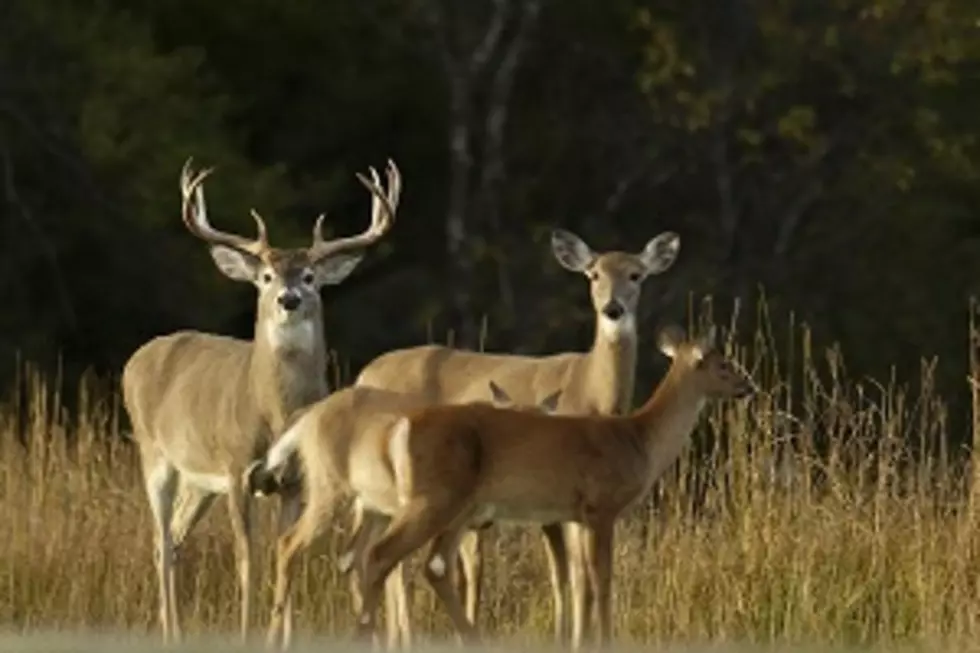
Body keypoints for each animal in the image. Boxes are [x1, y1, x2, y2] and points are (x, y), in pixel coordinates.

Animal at [121, 157, 402, 640]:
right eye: (267, 276)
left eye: (309, 276)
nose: (288, 299)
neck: (276, 412)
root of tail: (137, 357)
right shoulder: (237, 470)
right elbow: (246, 559)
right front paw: (246, 631)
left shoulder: (293, 482)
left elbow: (284, 555)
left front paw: (281, 637)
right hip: (155, 456)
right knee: (160, 540)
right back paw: (170, 633)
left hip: (199, 481)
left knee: (174, 539)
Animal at [249, 376, 564, 648]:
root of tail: (309, 416)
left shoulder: (462, 523)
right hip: (331, 491)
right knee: (290, 544)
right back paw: (275, 637)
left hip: (373, 509)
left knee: (352, 557)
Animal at [348, 324, 756, 648]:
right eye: (723, 364)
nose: (748, 384)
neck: (638, 439)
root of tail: (400, 428)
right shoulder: (600, 507)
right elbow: (602, 579)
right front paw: (606, 640)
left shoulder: (575, 515)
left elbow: (580, 579)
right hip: (434, 499)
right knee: (382, 554)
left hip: (454, 508)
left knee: (427, 565)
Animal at [352, 227, 680, 644]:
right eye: (594, 275)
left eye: (636, 275)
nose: (613, 309)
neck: (591, 389)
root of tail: (363, 375)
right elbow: (576, 575)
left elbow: (571, 576)